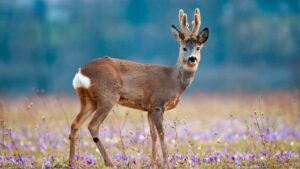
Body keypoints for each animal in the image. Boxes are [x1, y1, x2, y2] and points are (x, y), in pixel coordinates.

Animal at [68, 7, 209, 168]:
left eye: (198, 48)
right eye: (184, 48)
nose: (192, 58)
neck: (174, 81)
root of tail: (81, 72)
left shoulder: (148, 108)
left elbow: (153, 135)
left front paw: (153, 163)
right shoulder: (157, 104)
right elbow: (162, 134)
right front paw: (167, 163)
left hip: (87, 100)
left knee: (75, 124)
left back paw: (72, 162)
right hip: (107, 97)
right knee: (93, 125)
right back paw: (110, 162)